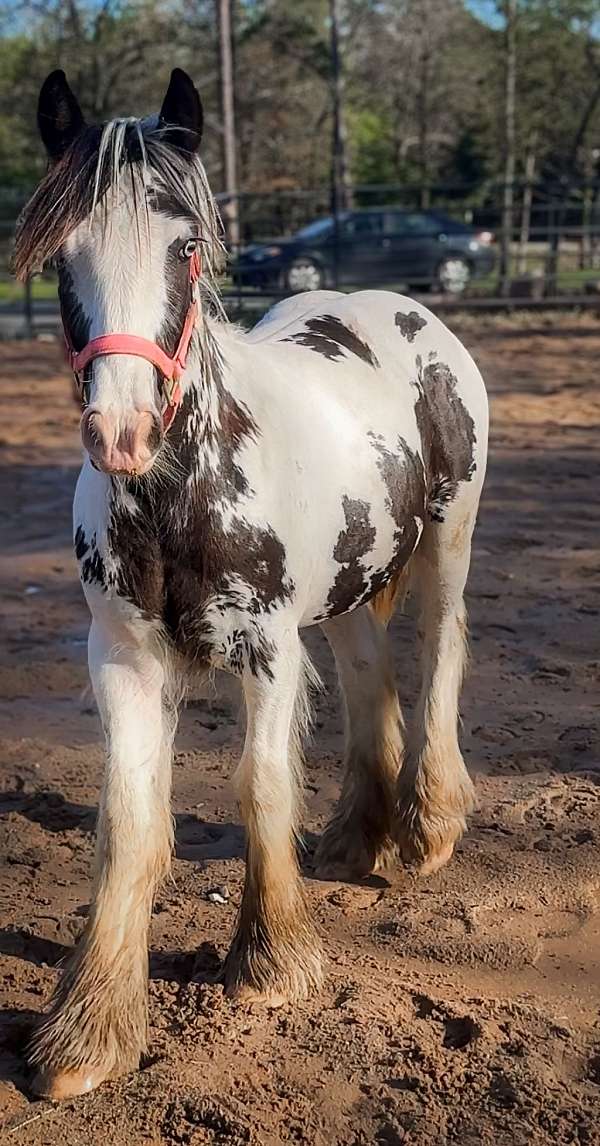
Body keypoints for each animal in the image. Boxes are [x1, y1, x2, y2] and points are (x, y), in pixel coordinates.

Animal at [14, 65, 490, 1100]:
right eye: (62, 252)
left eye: (186, 247)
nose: (121, 432)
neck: (180, 493)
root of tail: (401, 309)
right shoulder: (123, 657)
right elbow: (130, 819)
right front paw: (87, 1032)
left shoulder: (267, 651)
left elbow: (260, 786)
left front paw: (271, 963)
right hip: (351, 578)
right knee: (367, 672)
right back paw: (355, 836)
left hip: (448, 536)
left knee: (440, 652)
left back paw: (428, 826)